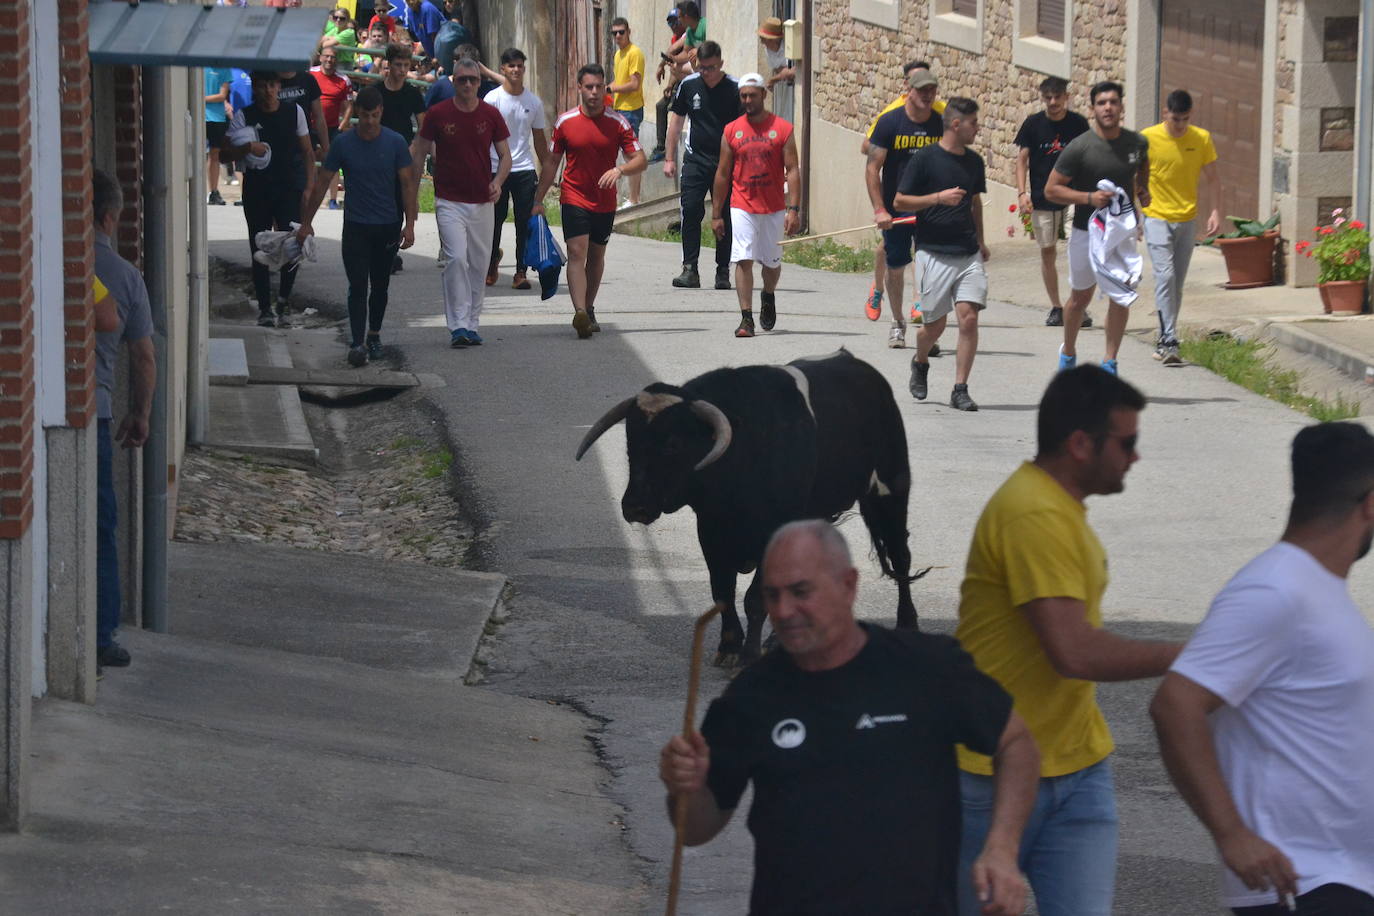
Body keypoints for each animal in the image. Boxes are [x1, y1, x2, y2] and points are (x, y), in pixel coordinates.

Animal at [571, 351, 923, 667]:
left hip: (892, 490)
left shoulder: (772, 532)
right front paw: (729, 647)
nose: (635, 506)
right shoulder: (711, 530)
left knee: (901, 556)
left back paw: (908, 621)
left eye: (673, 444)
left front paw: (749, 653)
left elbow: (754, 598)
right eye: (630, 443)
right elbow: (722, 591)